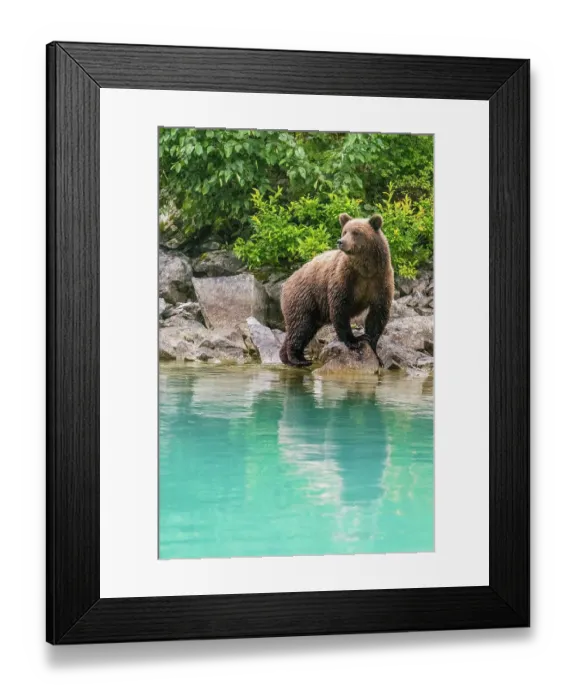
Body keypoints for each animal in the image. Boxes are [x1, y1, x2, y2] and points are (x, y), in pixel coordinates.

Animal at [279, 212, 394, 367]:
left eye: (356, 232)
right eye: (345, 231)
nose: (341, 242)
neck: (365, 270)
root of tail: (286, 283)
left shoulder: (380, 280)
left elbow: (378, 314)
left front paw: (375, 351)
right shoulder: (344, 278)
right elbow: (340, 307)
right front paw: (354, 341)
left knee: (303, 328)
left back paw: (286, 357)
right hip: (303, 298)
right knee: (300, 327)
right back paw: (299, 359)